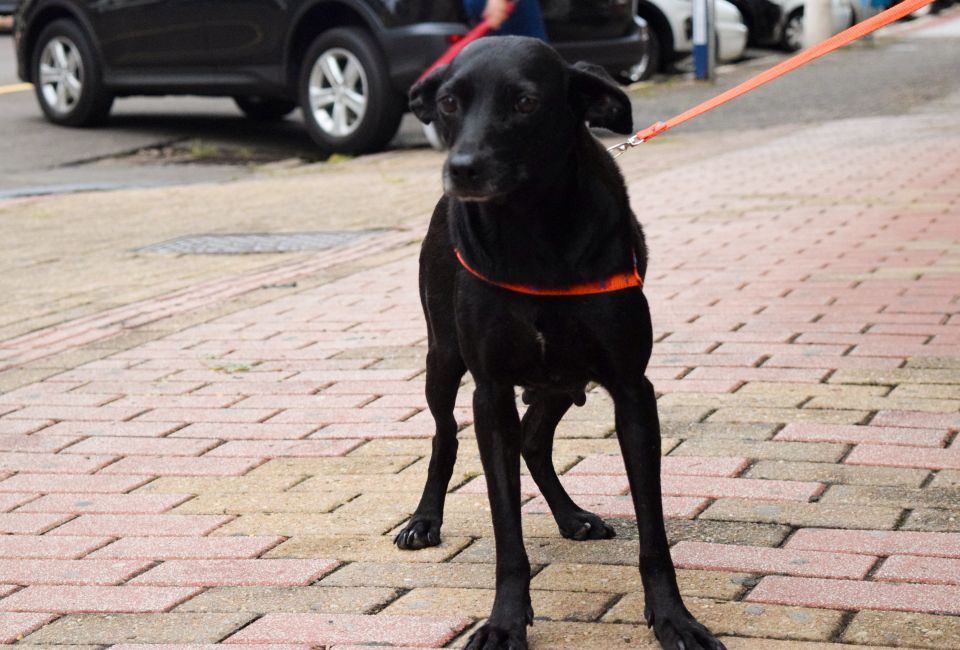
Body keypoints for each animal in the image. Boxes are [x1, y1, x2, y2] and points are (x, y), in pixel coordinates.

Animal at [394, 38, 724, 648]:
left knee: (534, 440)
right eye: (449, 102)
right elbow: (507, 532)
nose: (461, 169)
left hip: (560, 379)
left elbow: (654, 534)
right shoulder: (491, 393)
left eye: (525, 102)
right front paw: (504, 621)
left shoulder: (632, 390)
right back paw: (425, 520)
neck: (534, 233)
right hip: (443, 361)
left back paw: (571, 516)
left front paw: (673, 617)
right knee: (446, 435)